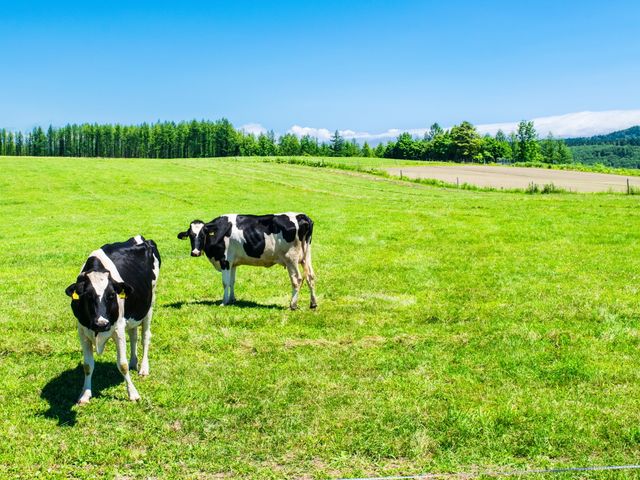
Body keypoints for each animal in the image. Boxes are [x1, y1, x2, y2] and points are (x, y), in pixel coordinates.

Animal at [65, 236, 161, 404]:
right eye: (88, 296)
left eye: (111, 295)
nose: (101, 323)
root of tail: (140, 238)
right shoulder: (82, 331)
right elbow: (87, 365)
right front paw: (85, 394)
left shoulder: (118, 329)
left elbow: (122, 364)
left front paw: (133, 393)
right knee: (134, 336)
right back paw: (134, 362)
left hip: (150, 303)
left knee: (145, 337)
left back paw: (143, 367)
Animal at [176, 212, 316, 310]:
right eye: (190, 235)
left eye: (203, 234)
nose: (195, 252)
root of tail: (302, 216)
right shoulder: (232, 263)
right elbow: (232, 282)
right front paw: (232, 299)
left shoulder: (224, 261)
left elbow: (225, 283)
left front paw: (224, 302)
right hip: (306, 256)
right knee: (311, 277)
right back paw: (313, 304)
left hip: (291, 258)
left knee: (297, 279)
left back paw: (293, 305)